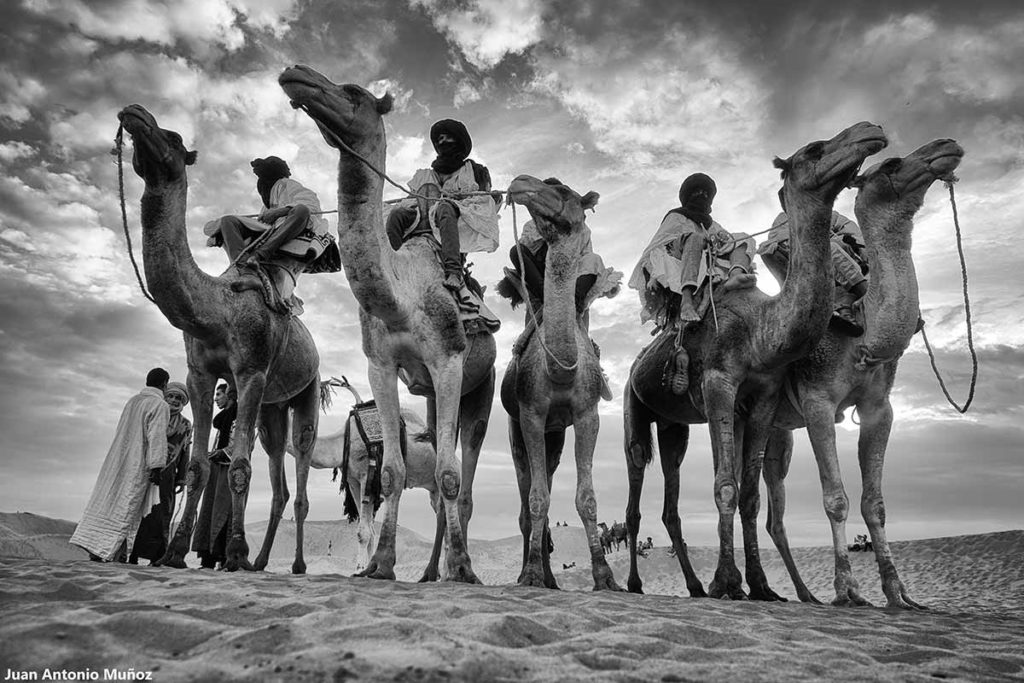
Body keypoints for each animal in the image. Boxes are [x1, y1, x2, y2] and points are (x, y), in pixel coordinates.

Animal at [115, 104, 319, 573]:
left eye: (173, 137)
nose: (135, 113)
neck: (217, 311)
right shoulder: (200, 374)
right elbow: (196, 469)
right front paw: (173, 553)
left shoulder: (251, 371)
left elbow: (239, 466)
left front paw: (235, 551)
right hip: (273, 409)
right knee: (279, 480)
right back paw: (260, 562)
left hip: (307, 391)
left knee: (300, 471)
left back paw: (293, 564)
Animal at [288, 378, 448, 581]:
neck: (342, 441)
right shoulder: (353, 481)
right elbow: (369, 530)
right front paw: (366, 568)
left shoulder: (366, 476)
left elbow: (363, 532)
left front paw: (359, 569)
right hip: (432, 488)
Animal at [499, 176, 618, 593]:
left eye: (563, 189)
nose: (521, 182)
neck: (560, 369)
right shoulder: (531, 414)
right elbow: (537, 500)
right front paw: (531, 574)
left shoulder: (586, 415)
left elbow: (586, 499)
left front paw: (605, 577)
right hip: (517, 427)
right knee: (527, 496)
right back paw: (535, 574)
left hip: (557, 433)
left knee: (548, 476)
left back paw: (551, 578)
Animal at [618, 121, 884, 598]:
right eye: (815, 149)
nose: (869, 131)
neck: (762, 331)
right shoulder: (718, 385)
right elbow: (725, 486)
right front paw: (727, 580)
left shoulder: (763, 395)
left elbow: (749, 495)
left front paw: (758, 585)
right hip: (635, 407)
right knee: (634, 483)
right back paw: (633, 583)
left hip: (674, 426)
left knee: (671, 496)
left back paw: (694, 586)